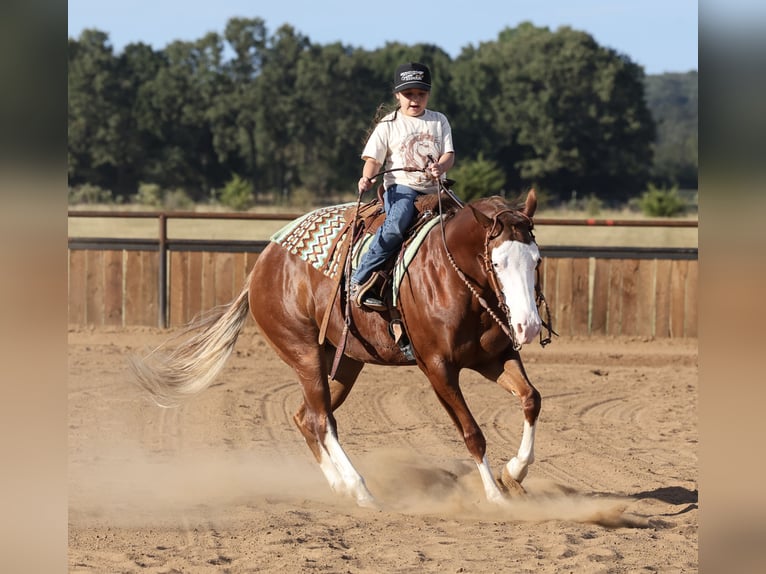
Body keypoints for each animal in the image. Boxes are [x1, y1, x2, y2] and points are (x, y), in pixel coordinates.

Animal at [130, 189, 545, 508]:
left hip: (344, 360)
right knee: (320, 420)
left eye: (537, 259)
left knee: (306, 417)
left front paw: (514, 473)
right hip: (304, 354)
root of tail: (261, 267)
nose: (529, 326)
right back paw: (360, 490)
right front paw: (495, 495)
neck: (451, 275)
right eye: (497, 261)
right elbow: (472, 432)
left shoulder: (494, 357)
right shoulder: (437, 368)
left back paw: (340, 485)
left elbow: (531, 399)